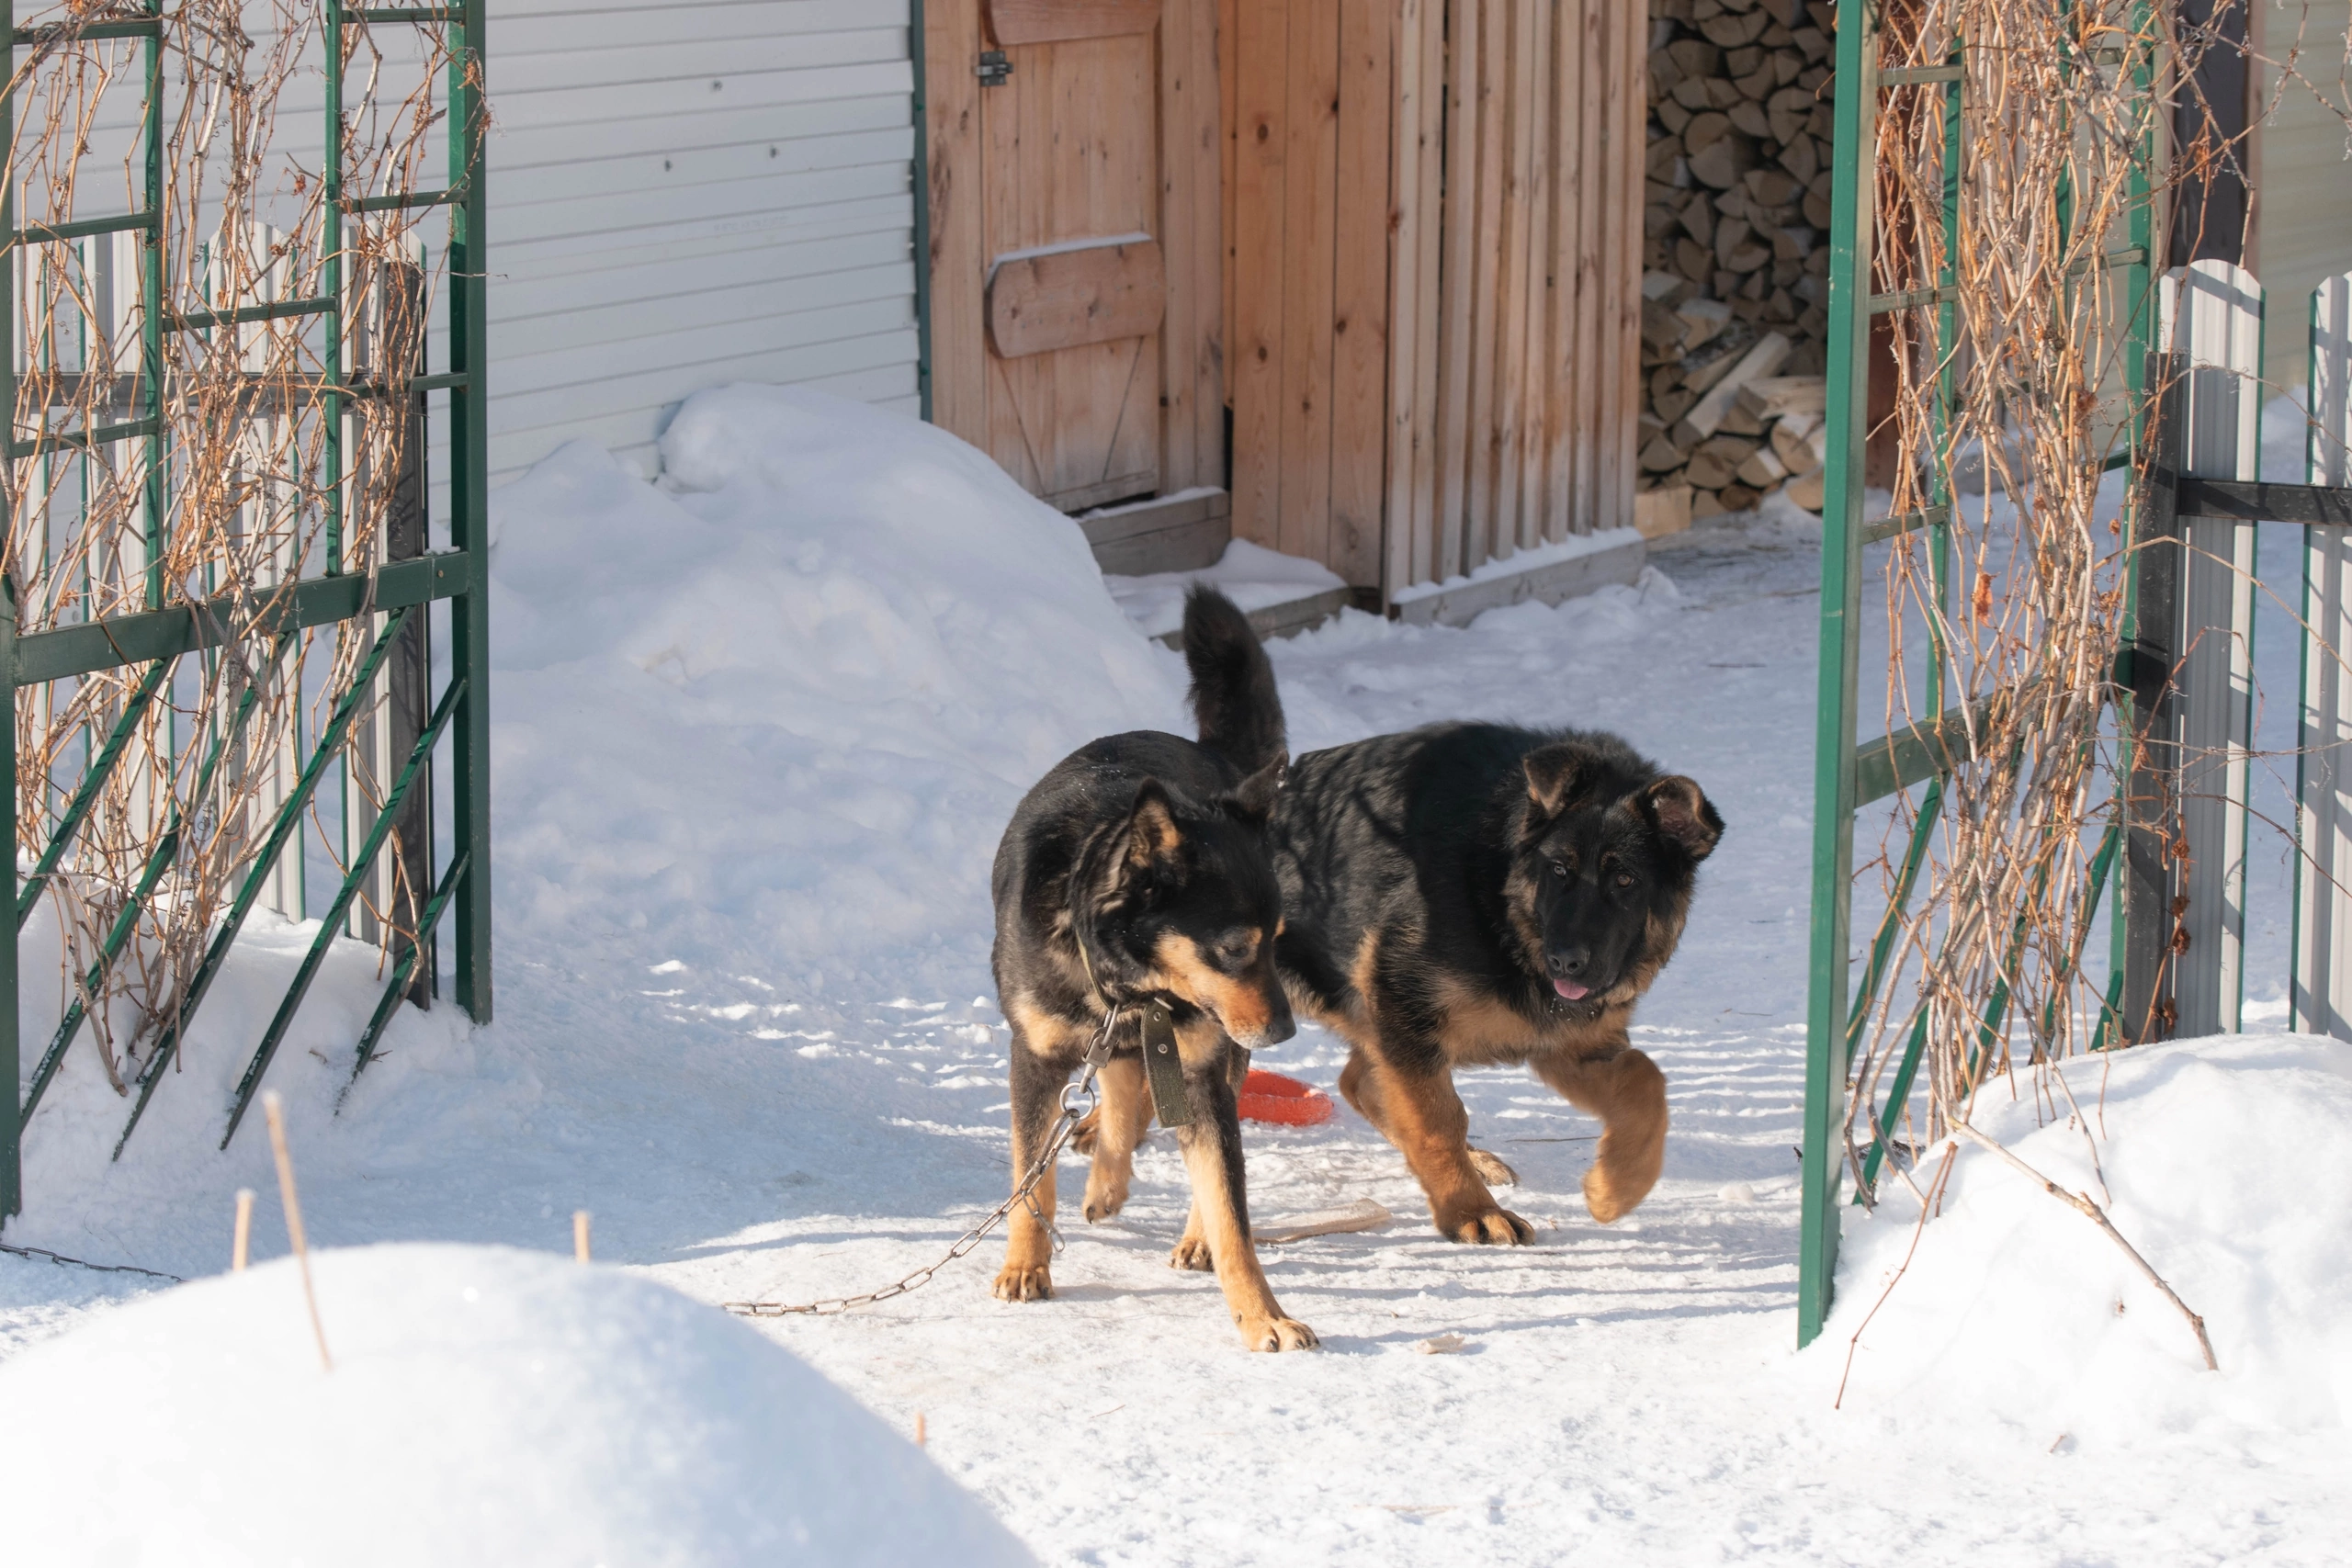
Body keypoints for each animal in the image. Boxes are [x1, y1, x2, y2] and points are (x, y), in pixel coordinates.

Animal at [988, 585, 1326, 1354]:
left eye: (1275, 941)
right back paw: (1105, 1171)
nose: (1286, 1032)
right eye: (1232, 946)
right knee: (1118, 1084)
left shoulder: (1198, 1062)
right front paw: (1025, 1262)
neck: (1122, 976)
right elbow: (1030, 1176)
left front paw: (1261, 1312)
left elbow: (1231, 1207)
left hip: (1213, 1051)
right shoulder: (1037, 1057)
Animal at [1261, 728, 1721, 1250]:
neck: (1499, 896)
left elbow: (1646, 1080)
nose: (1565, 962)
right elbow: (1437, 1121)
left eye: (1625, 880)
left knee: (1359, 1082)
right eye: (1558, 870)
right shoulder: (1404, 1006)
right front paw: (1470, 1211)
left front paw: (1616, 1188)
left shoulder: (1565, 1042)